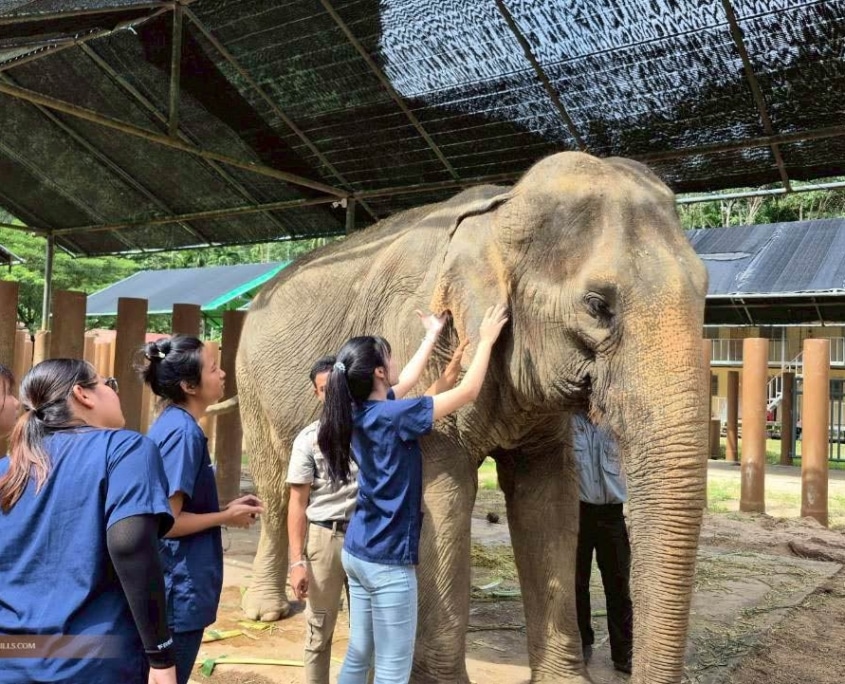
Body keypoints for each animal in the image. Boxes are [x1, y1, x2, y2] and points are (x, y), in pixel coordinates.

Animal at [236, 151, 709, 684]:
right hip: (250, 384)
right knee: (277, 490)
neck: (500, 212)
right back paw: (267, 611)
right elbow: (443, 498)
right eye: (597, 305)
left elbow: (549, 499)